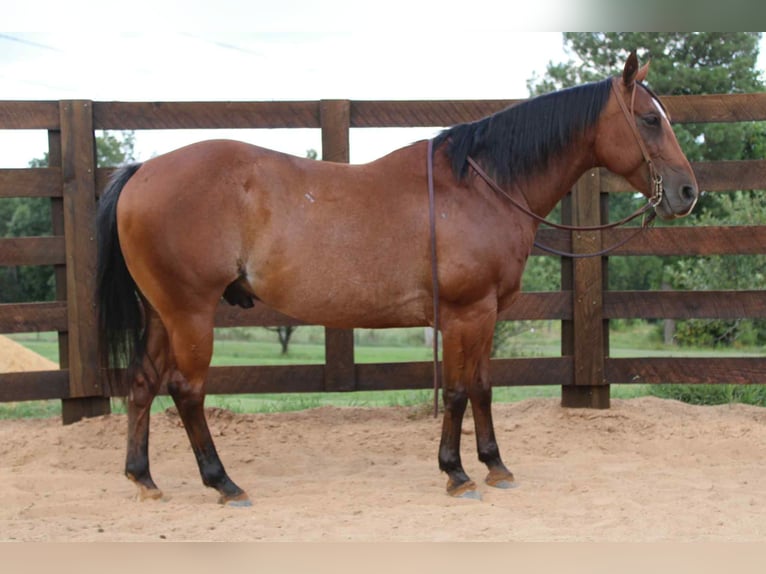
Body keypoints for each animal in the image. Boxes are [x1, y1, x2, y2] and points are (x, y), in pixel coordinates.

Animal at [96, 51, 698, 505]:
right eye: (649, 119)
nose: (689, 191)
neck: (480, 187)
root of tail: (142, 171)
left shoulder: (485, 315)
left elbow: (483, 387)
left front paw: (495, 466)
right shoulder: (465, 313)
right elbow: (457, 391)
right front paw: (456, 472)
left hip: (162, 314)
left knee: (143, 385)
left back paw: (143, 478)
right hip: (191, 313)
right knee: (186, 391)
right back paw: (223, 482)